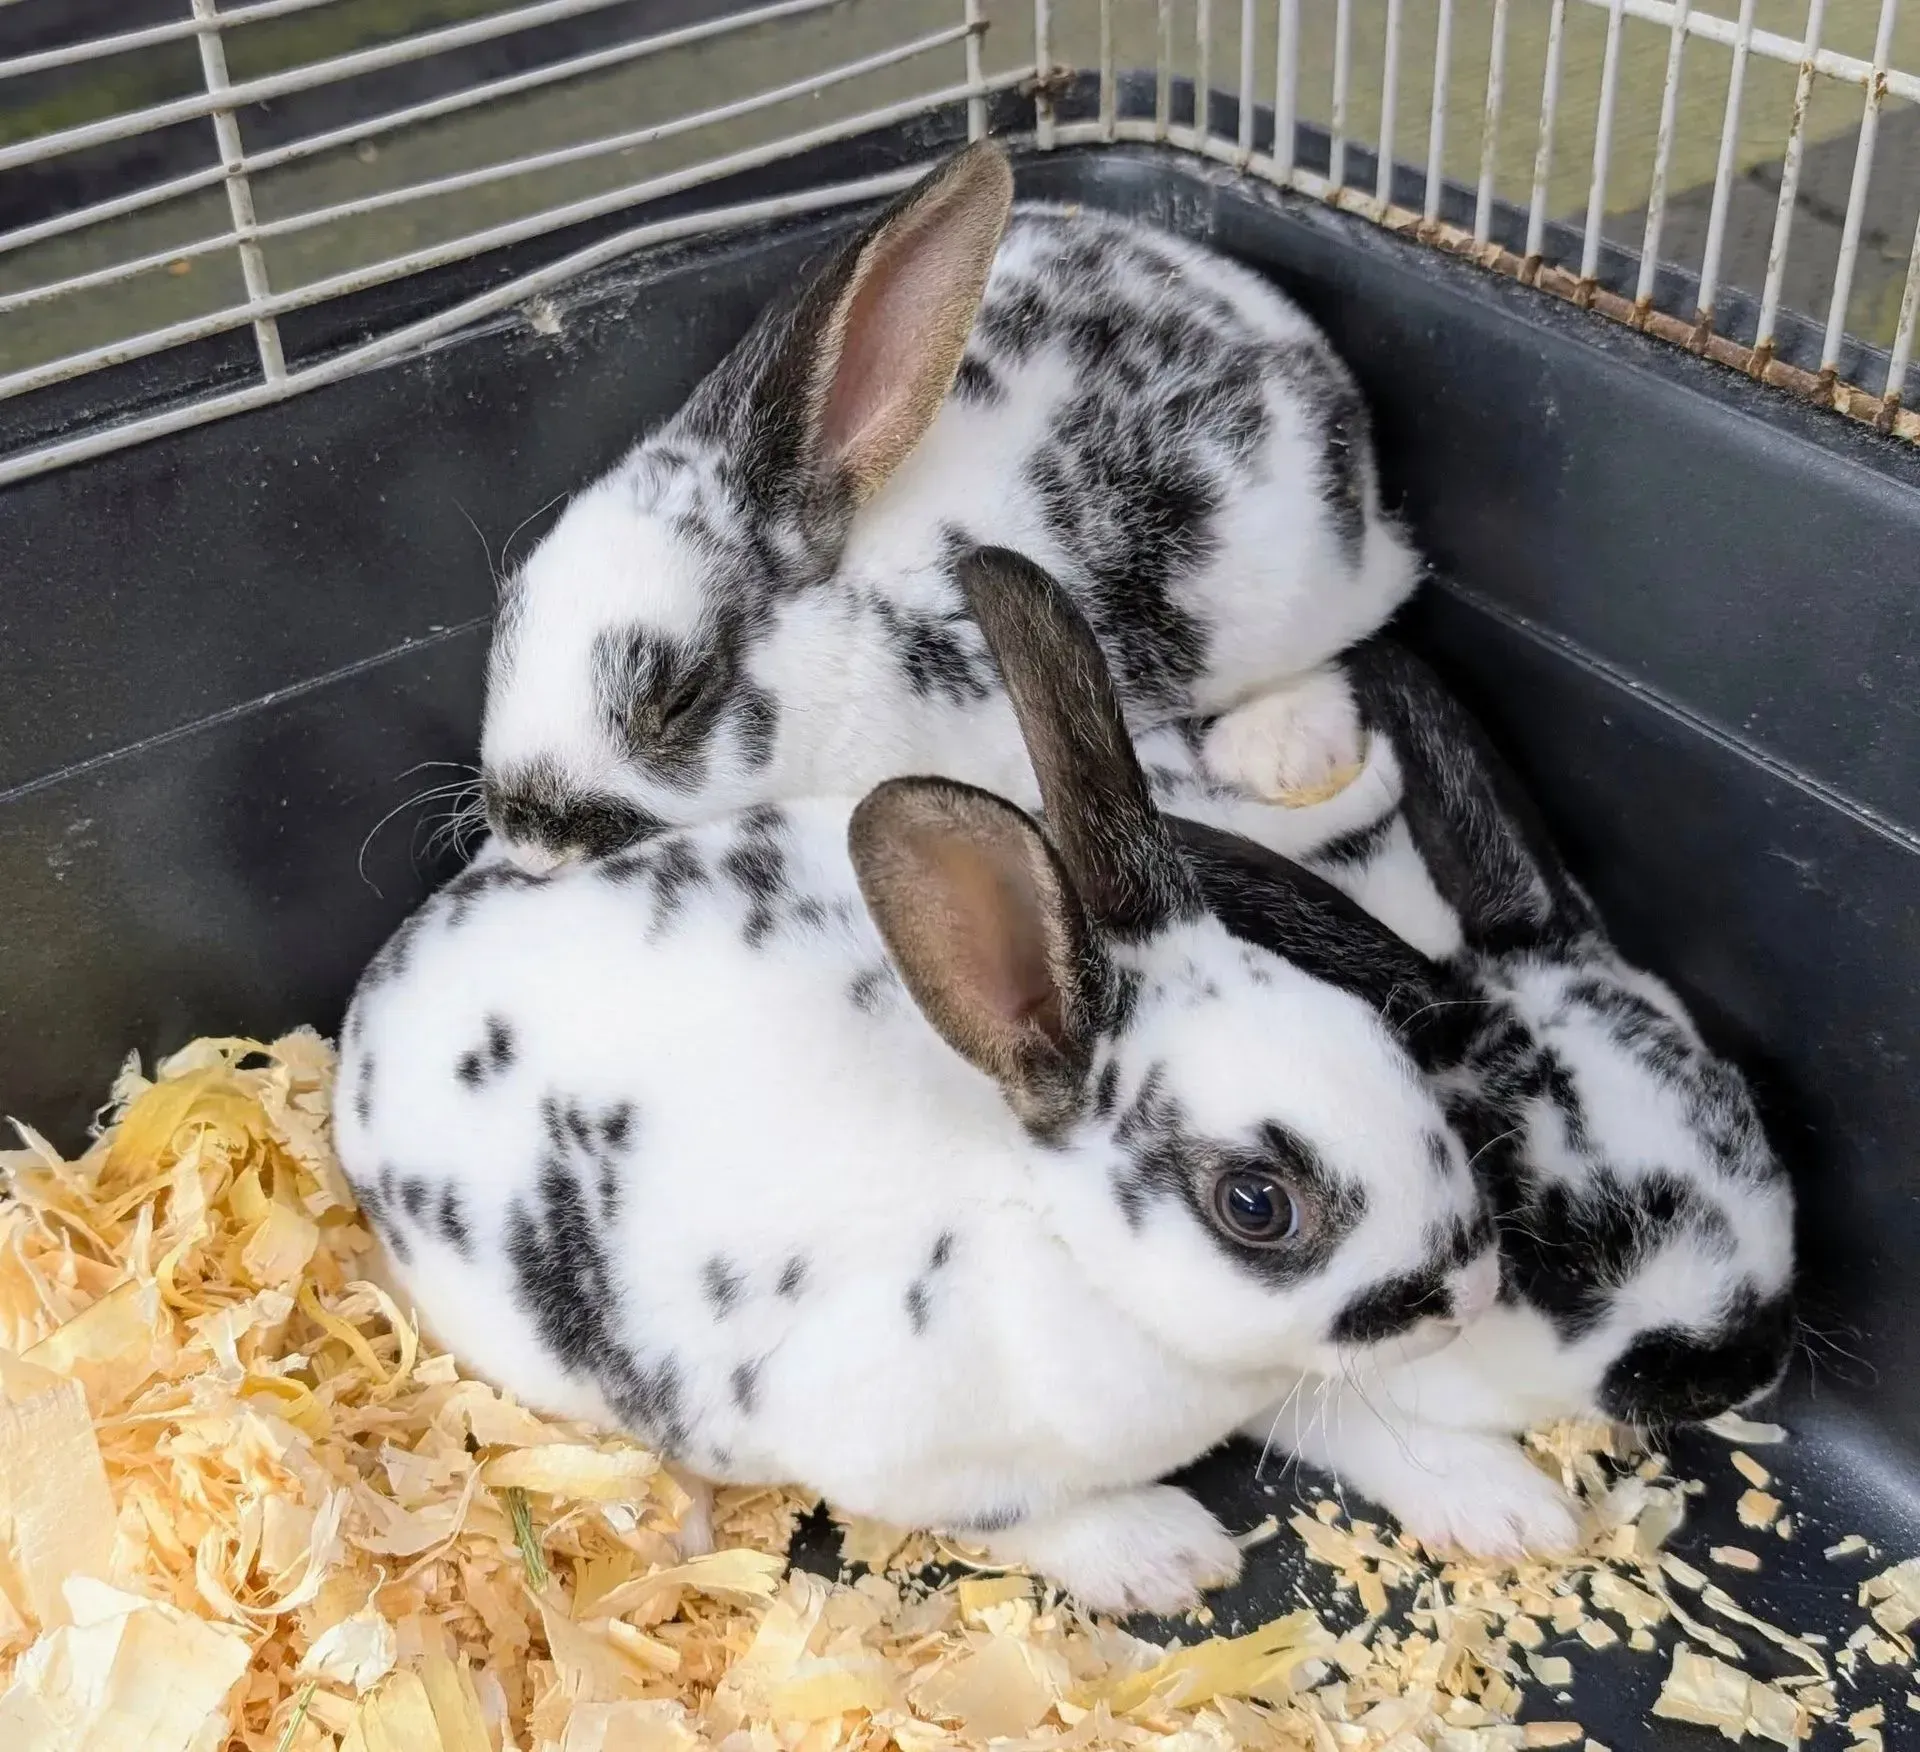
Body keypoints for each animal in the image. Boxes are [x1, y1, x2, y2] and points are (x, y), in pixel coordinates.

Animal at [336, 549, 1498, 1616]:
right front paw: (1165, 1555)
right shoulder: (890, 1447)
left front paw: (1503, 1503)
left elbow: (1349, 1417)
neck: (1056, 1238)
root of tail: (368, 1007)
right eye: (1257, 1205)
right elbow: (1023, 1517)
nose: (1476, 1291)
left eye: (1377, 1036)